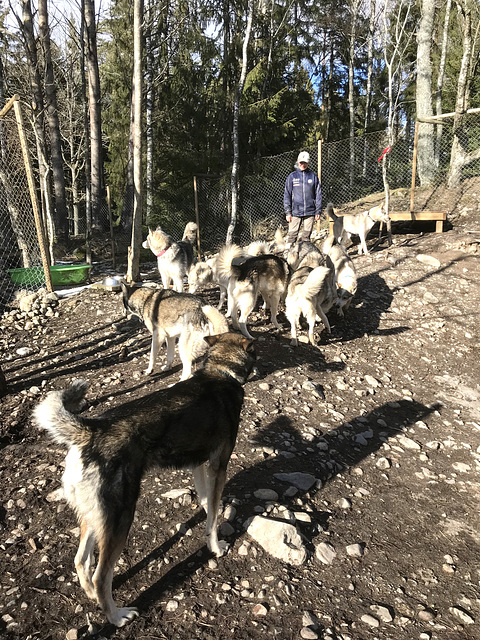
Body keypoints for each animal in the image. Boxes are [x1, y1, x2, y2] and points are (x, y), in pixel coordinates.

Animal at [33, 332, 256, 628]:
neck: (220, 371)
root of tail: (91, 430)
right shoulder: (218, 466)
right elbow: (213, 517)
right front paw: (216, 546)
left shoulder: (199, 466)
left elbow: (208, 504)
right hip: (120, 519)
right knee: (101, 576)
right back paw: (117, 616)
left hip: (96, 518)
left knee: (81, 560)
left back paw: (91, 595)